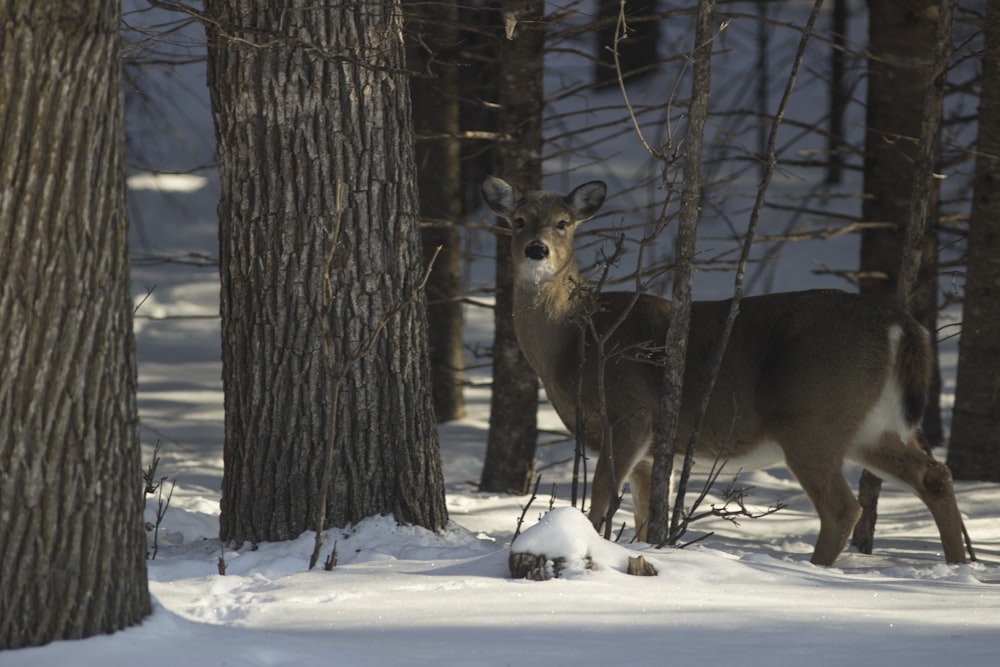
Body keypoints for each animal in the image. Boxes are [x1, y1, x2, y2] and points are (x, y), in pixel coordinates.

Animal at [484, 175, 968, 568]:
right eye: (519, 219)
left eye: (563, 223)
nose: (537, 250)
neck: (571, 339)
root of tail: (899, 322)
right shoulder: (649, 448)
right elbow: (642, 513)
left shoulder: (631, 412)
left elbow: (602, 495)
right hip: (871, 424)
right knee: (934, 475)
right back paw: (958, 566)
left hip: (812, 416)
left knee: (843, 507)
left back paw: (816, 571)